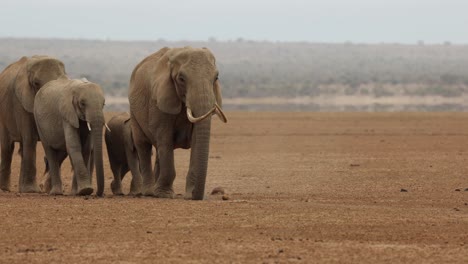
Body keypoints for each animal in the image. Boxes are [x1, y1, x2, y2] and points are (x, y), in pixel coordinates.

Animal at [0, 55, 66, 192]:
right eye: (36, 83)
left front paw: (46, 189)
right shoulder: (20, 102)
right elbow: (30, 138)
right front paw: (32, 190)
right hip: (4, 115)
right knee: (8, 147)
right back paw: (5, 189)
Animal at [129, 47, 228, 200]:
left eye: (216, 77)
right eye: (181, 79)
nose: (196, 196)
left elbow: (196, 141)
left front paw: (189, 194)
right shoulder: (158, 101)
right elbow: (164, 139)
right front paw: (164, 195)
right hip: (134, 111)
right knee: (143, 145)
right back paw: (150, 192)